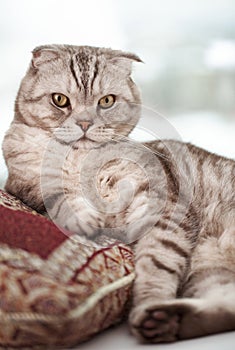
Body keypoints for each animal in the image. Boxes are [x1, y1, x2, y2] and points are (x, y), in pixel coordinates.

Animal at [2, 43, 235, 342]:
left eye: (107, 101)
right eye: (60, 100)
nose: (85, 124)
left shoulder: (160, 203)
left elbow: (157, 263)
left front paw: (149, 300)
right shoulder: (25, 184)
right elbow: (58, 194)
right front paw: (84, 217)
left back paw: (158, 319)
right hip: (209, 274)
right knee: (225, 307)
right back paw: (167, 320)